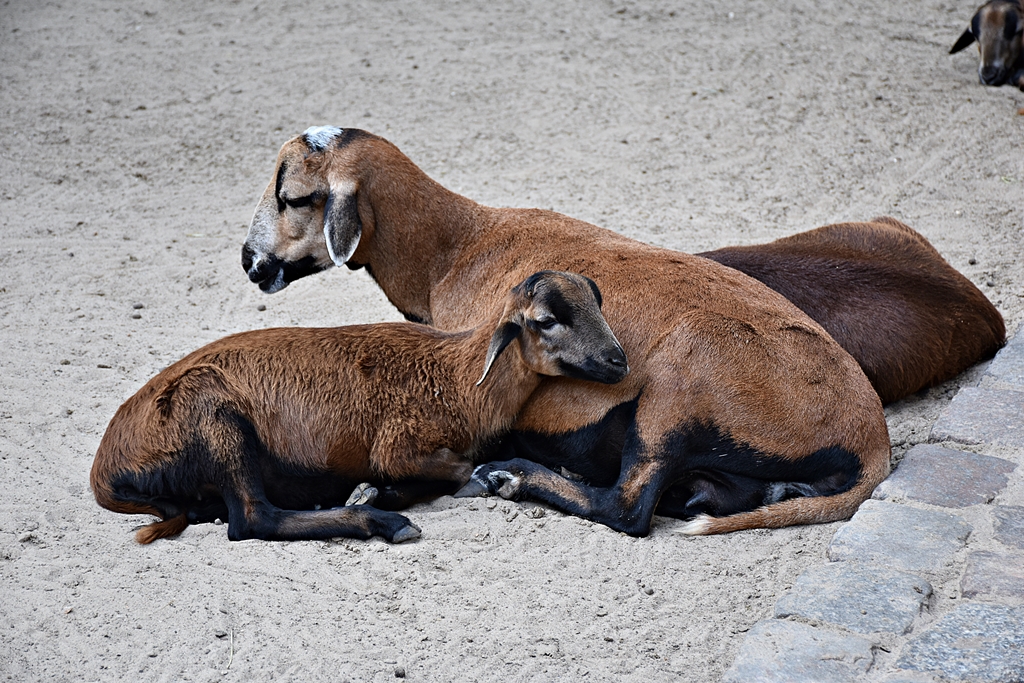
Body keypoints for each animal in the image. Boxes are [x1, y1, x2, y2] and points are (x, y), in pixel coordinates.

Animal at [90, 270, 628, 544]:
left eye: (599, 303)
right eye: (546, 320)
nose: (618, 360)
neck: (458, 381)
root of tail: (106, 468)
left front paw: (375, 492)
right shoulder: (401, 442)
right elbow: (460, 467)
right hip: (214, 417)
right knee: (251, 519)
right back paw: (384, 524)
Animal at [240, 127, 893, 537]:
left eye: (292, 197)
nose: (250, 262)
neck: (454, 251)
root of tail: (870, 437)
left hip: (681, 384)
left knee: (627, 508)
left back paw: (513, 478)